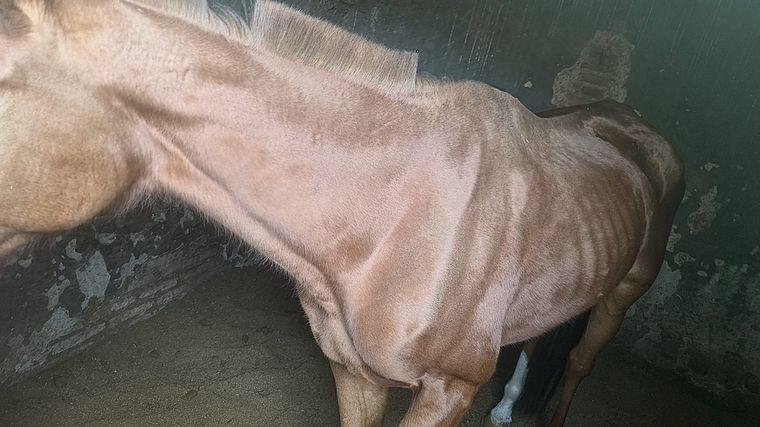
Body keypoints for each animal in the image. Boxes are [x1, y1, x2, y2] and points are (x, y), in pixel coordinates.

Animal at [0, 1, 684, 426]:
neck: (391, 217)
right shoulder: (353, 375)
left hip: (620, 298)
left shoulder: (448, 390)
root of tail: (632, 124)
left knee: (576, 364)